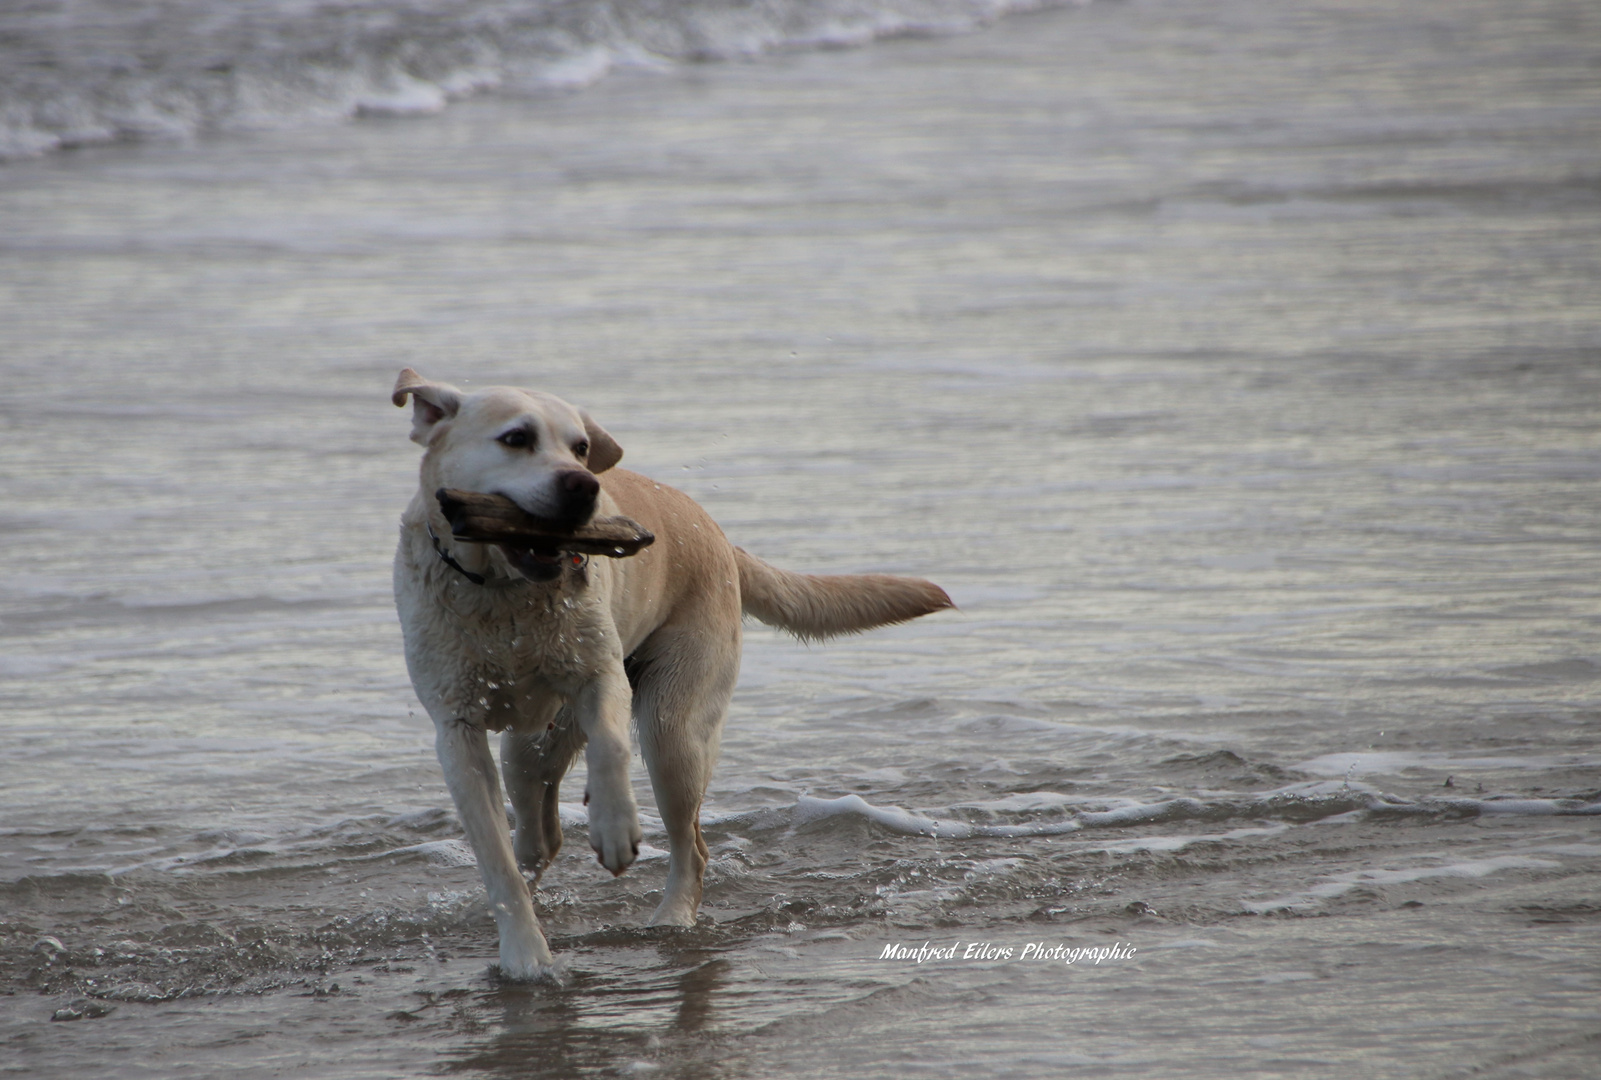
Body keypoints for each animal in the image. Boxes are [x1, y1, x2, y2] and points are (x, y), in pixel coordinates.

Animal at [390, 369, 947, 979]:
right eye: (516, 438)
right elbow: (497, 862)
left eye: (579, 446)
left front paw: (614, 826)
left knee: (691, 846)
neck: (502, 593)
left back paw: (672, 917)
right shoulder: (457, 733)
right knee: (537, 833)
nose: (584, 485)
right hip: (528, 747)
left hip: (673, 728)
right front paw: (525, 954)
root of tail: (719, 534)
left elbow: (612, 745)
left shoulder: (602, 676)